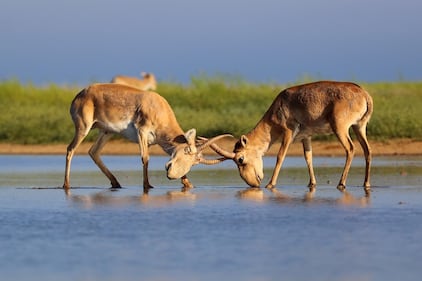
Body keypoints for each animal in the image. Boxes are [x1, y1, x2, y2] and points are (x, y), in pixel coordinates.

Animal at [62, 82, 227, 192]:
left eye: (195, 162)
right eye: (187, 151)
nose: (171, 175)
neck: (158, 107)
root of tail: (80, 94)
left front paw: (188, 184)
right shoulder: (142, 131)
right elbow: (145, 158)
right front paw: (147, 186)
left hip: (107, 132)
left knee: (93, 152)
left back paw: (116, 183)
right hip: (83, 128)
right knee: (70, 149)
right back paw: (66, 185)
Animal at [208, 80, 372, 192]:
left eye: (240, 159)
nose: (254, 184)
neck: (281, 103)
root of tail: (364, 94)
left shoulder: (288, 133)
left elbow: (280, 156)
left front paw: (270, 184)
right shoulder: (306, 137)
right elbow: (308, 157)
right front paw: (312, 183)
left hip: (340, 128)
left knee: (350, 149)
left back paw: (341, 183)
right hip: (359, 127)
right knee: (367, 150)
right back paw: (366, 183)